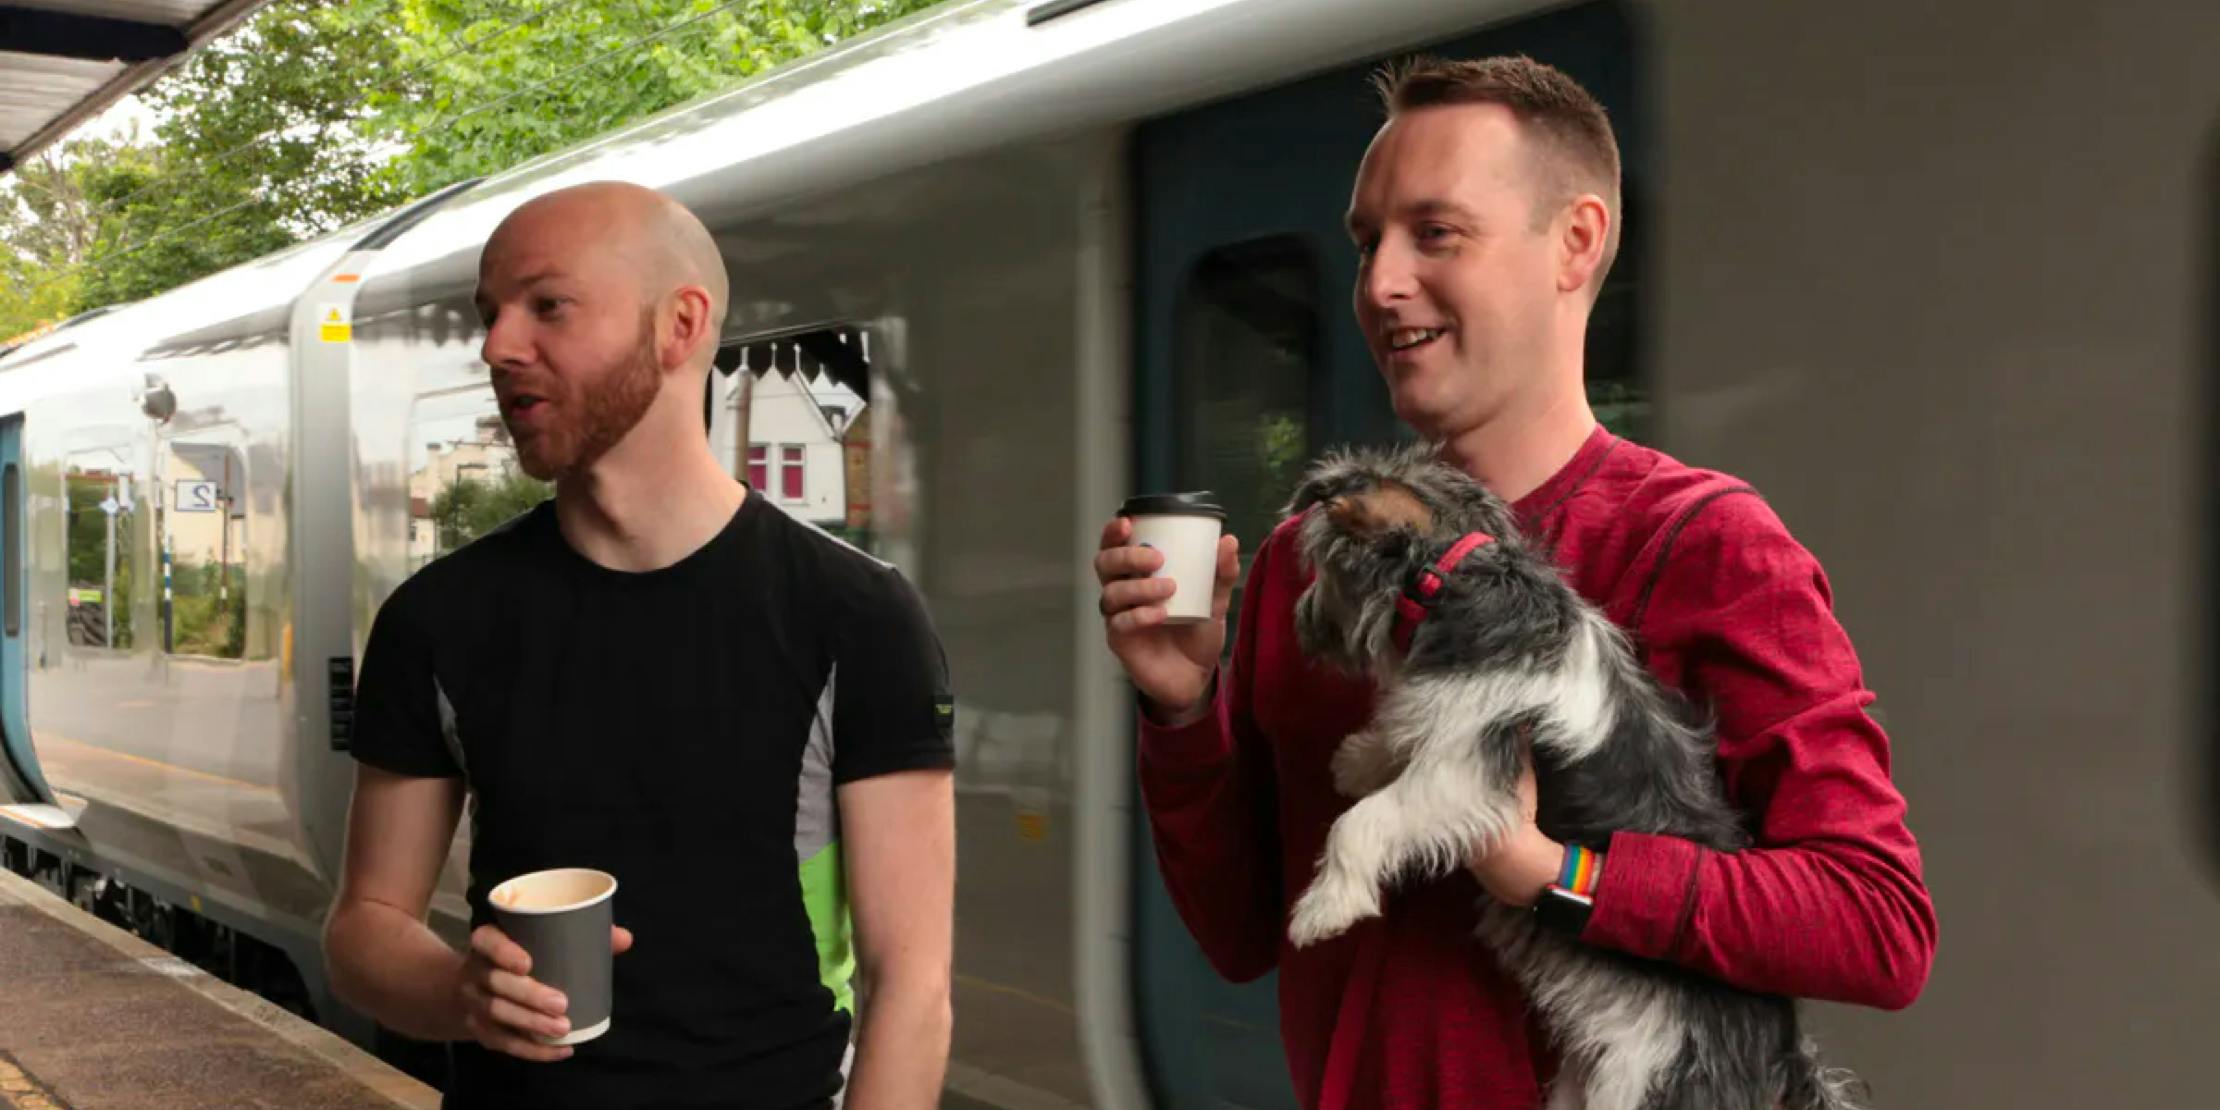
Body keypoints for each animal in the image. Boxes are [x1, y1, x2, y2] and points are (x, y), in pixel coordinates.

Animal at [1278, 441, 1864, 1110]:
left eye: (1321, 569)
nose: (1301, 618)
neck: (1454, 576)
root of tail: (1782, 1058)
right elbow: (1398, 741)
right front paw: (1360, 759)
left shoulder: (1466, 770)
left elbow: (1361, 823)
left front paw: (1324, 907)